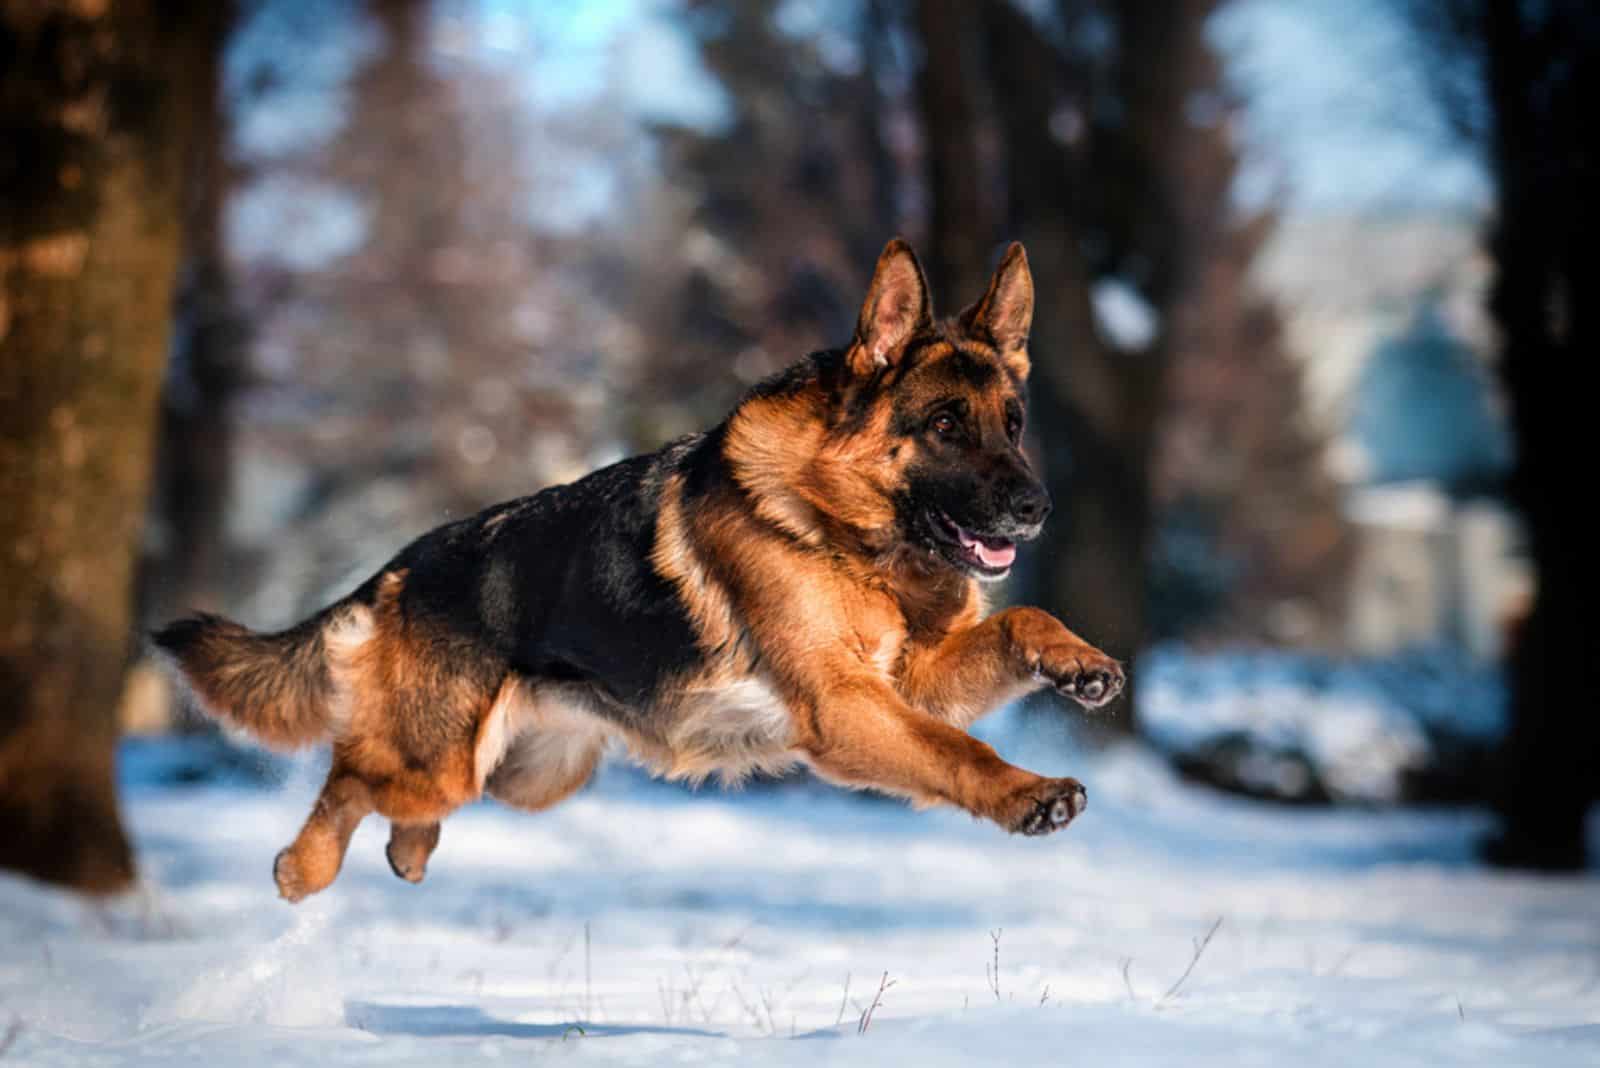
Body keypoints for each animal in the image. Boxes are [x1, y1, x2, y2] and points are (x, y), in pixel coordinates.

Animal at [152, 241, 1126, 901]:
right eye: (946, 426)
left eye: (1012, 422)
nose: (1037, 507)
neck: (844, 531)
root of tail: (399, 565)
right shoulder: (847, 707)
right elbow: (959, 749)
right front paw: (1028, 792)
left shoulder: (908, 682)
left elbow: (1020, 623)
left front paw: (1079, 662)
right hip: (438, 761)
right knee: (350, 772)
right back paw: (301, 867)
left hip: (527, 776)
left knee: (397, 799)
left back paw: (408, 852)